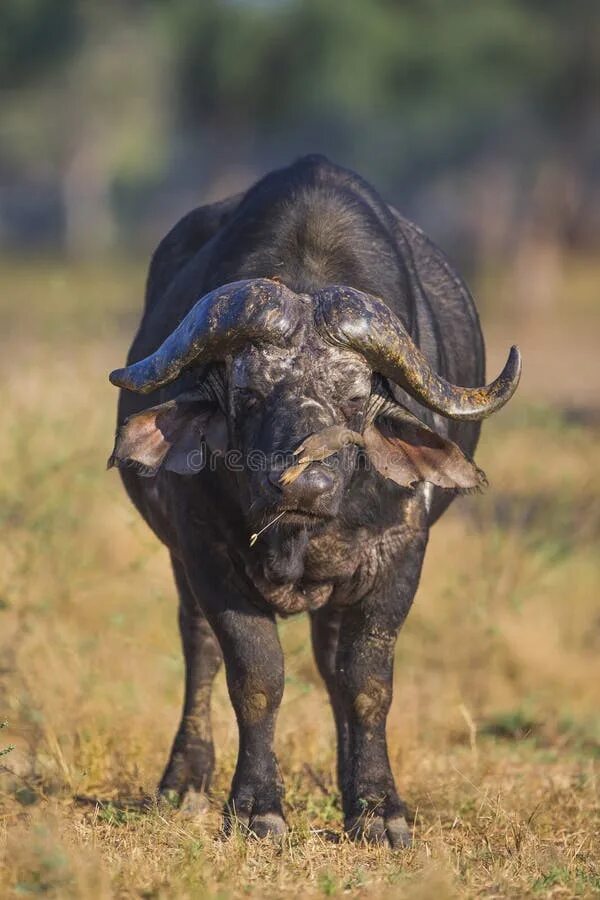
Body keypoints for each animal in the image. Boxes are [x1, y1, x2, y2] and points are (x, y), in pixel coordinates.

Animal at [109, 151, 520, 848]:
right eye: (247, 393)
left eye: (355, 398)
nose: (303, 482)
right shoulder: (204, 549)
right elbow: (256, 676)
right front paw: (256, 807)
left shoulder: (399, 554)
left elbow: (366, 681)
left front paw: (379, 810)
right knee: (200, 650)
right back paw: (184, 783)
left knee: (332, 664)